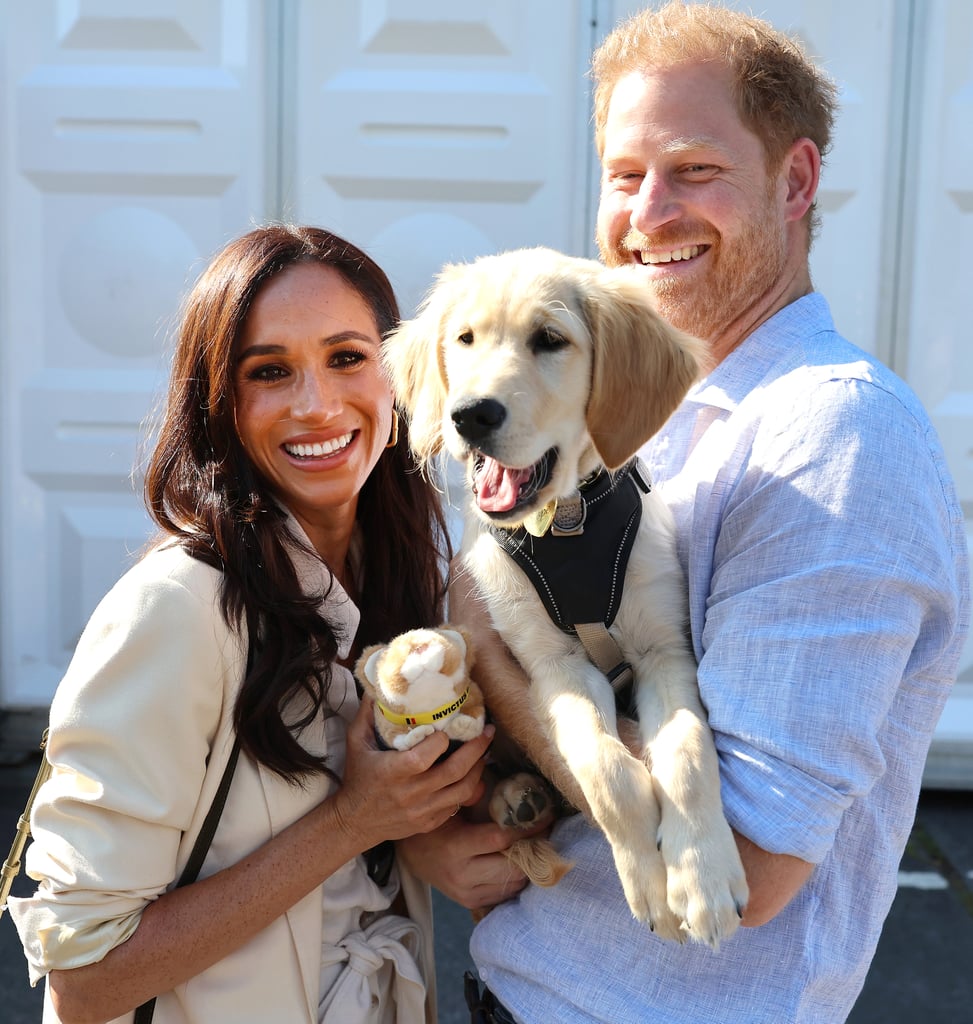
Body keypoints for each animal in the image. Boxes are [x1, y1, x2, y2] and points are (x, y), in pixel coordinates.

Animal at [385, 249, 749, 950]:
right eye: (464, 339)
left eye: (550, 340)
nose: (469, 415)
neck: (568, 526)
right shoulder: (552, 666)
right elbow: (607, 772)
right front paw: (651, 884)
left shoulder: (664, 652)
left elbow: (688, 754)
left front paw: (703, 877)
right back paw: (515, 797)